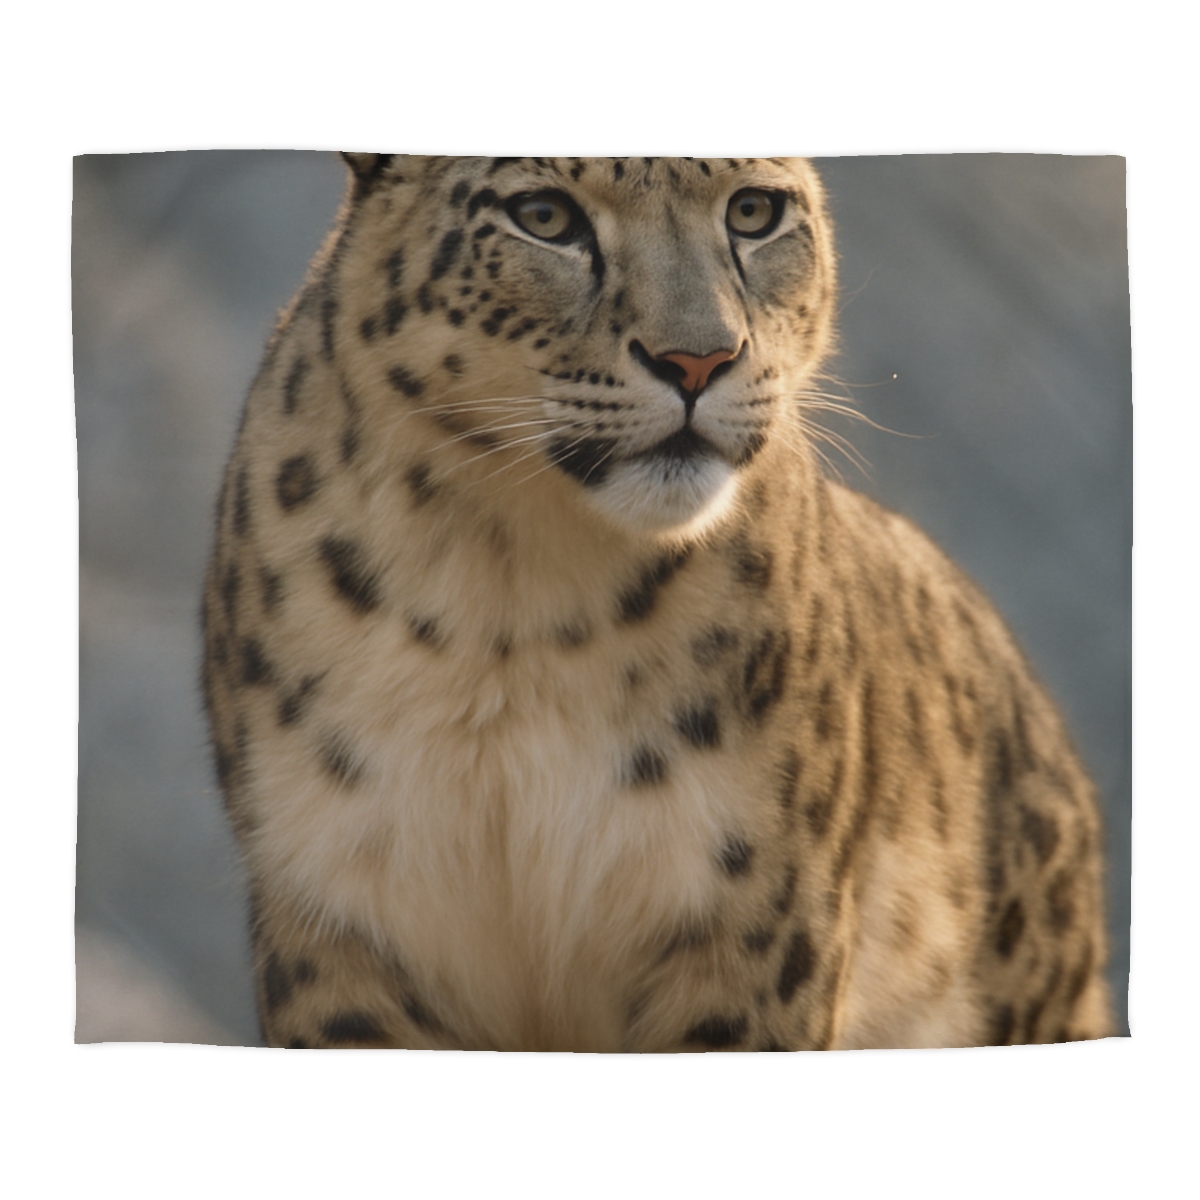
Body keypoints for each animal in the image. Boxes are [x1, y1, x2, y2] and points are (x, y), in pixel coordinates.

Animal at [201, 154, 1113, 1051]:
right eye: (544, 217)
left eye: (752, 212)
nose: (698, 361)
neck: (511, 601)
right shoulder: (342, 924)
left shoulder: (754, 928)